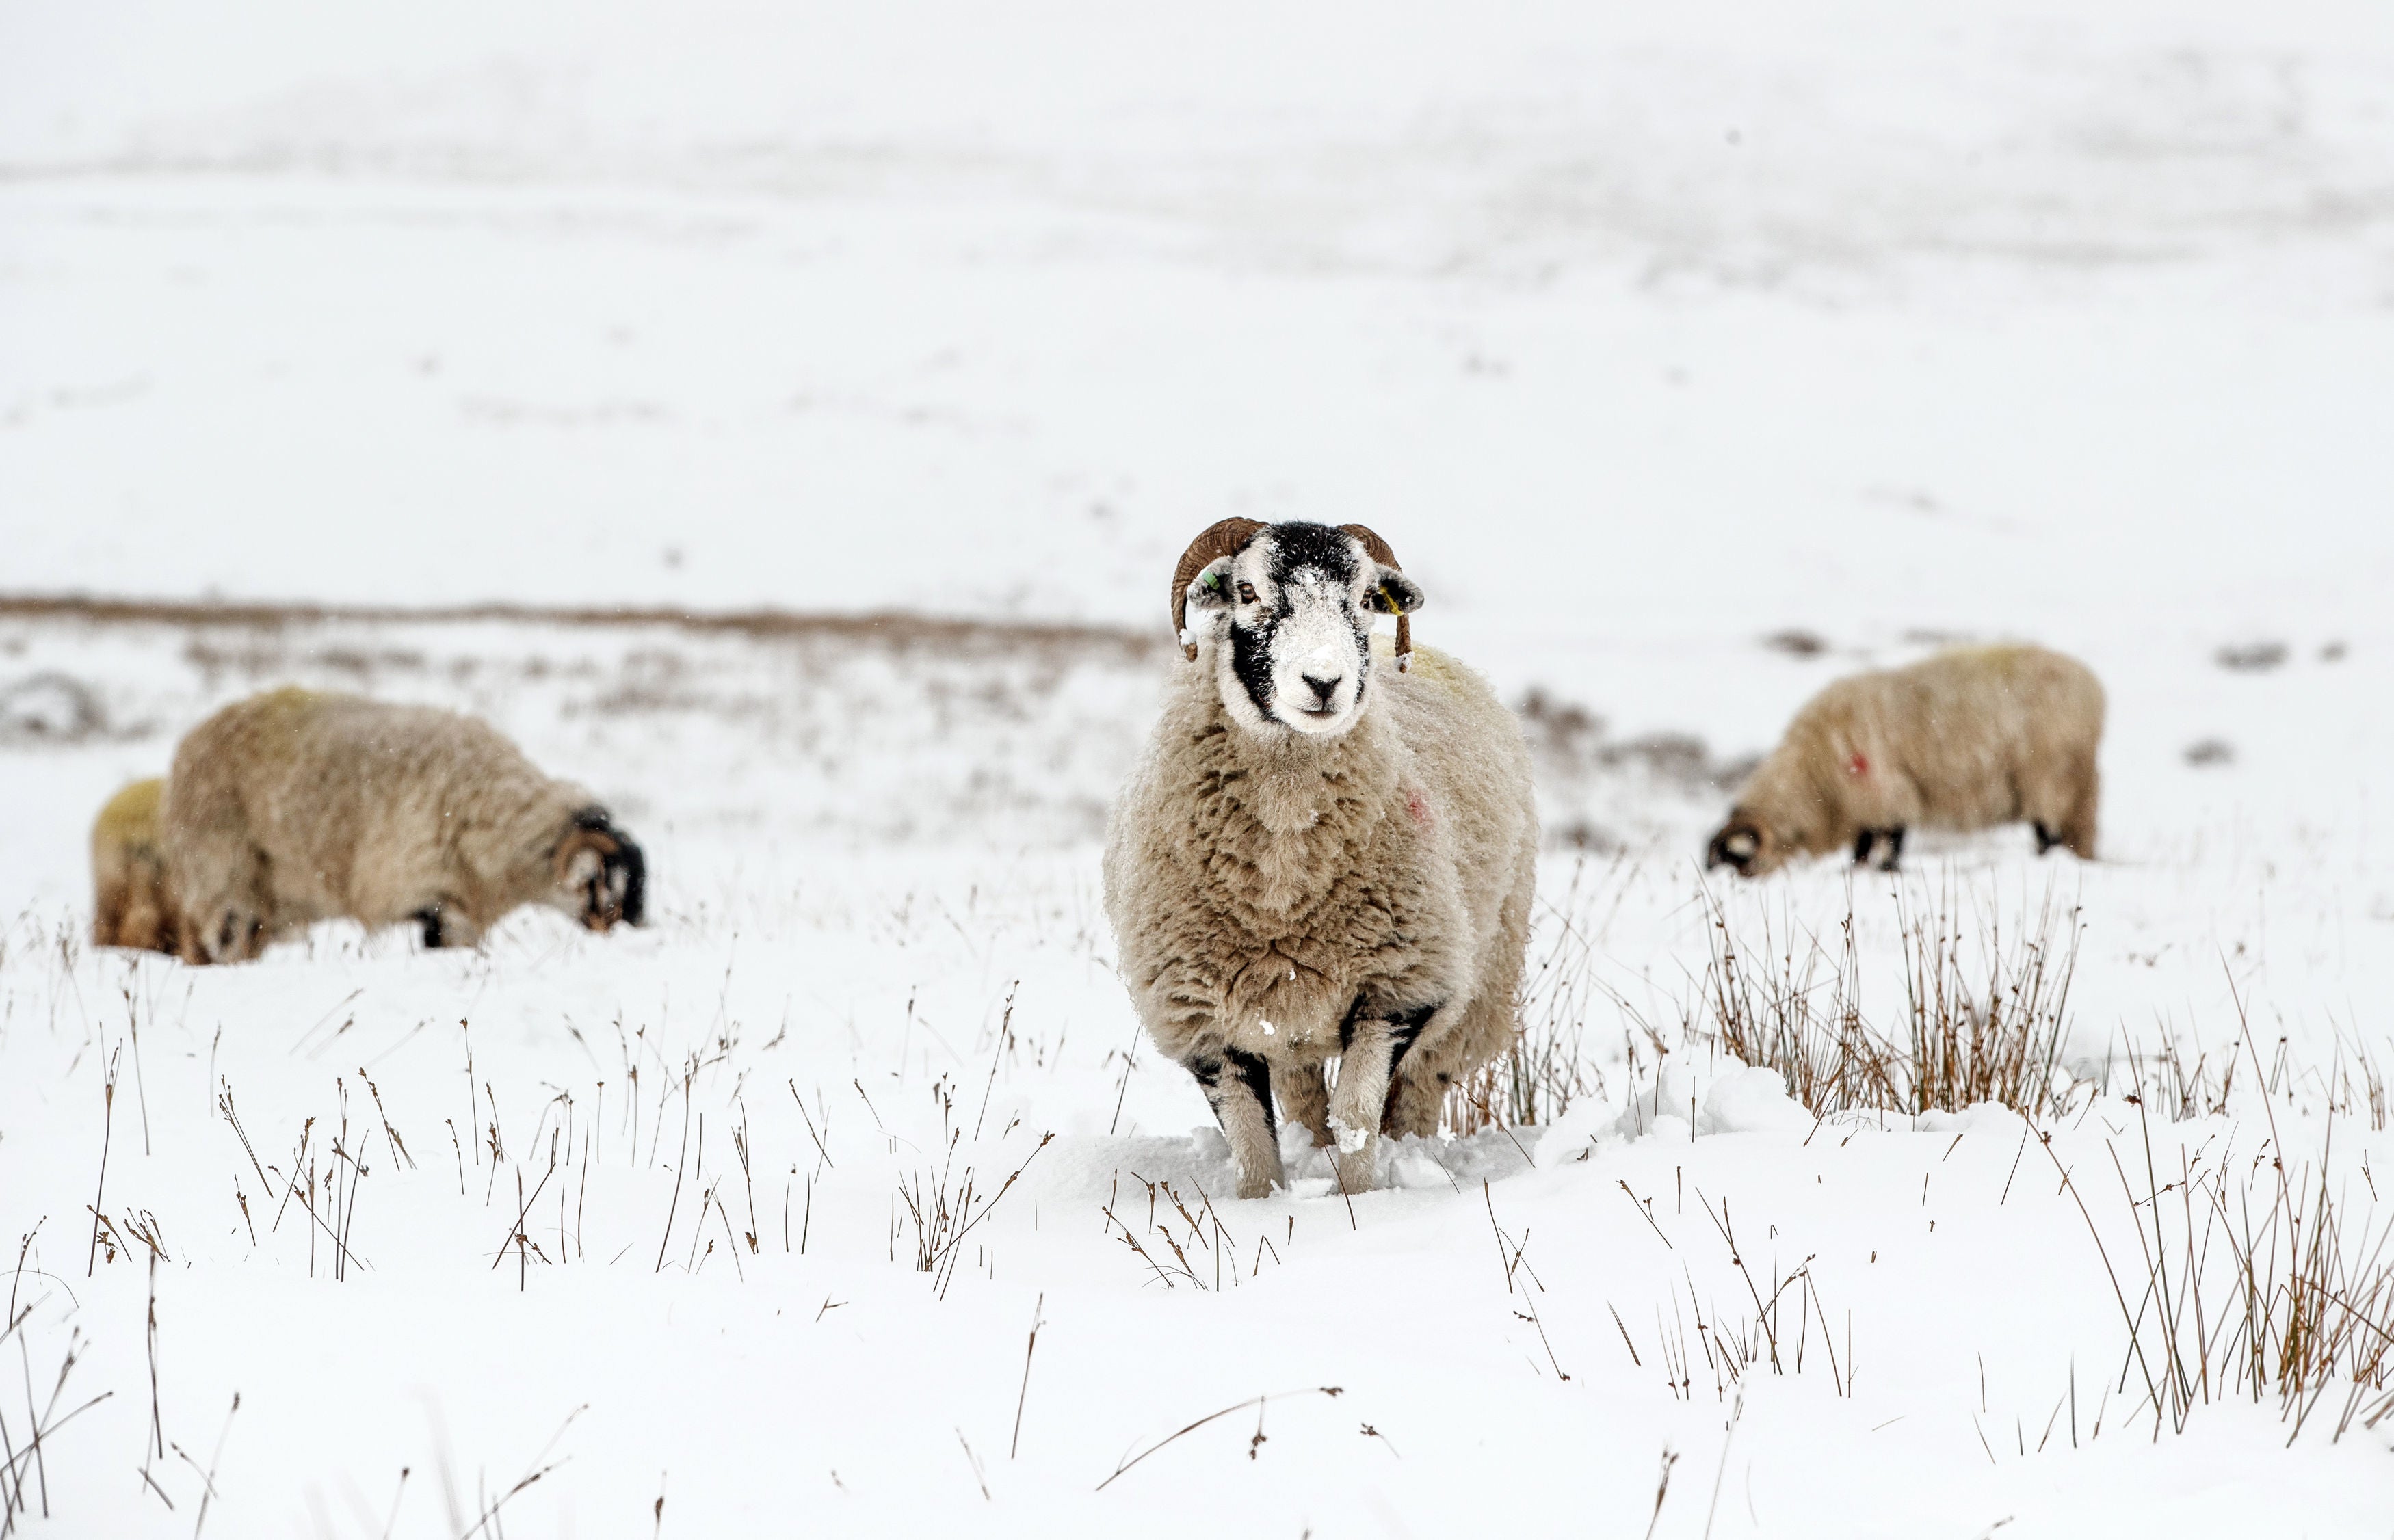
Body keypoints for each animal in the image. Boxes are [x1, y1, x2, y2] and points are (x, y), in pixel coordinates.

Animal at [160, 689, 651, 962]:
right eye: (609, 889)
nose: (633, 937)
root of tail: (191, 742)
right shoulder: (429, 894)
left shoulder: (462, 913)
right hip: (224, 877)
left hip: (270, 901)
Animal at [1096, 512, 1532, 1197]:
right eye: (1247, 593)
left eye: (1364, 598)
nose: (1325, 682)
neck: (1283, 882)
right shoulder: (1203, 1021)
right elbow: (1253, 1144)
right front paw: (1263, 1205)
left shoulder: (1397, 987)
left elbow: (1357, 1113)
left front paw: (1358, 1200)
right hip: (1285, 1015)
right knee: (1303, 1096)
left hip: (1481, 979)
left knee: (1420, 1087)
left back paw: (1414, 1157)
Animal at [1695, 646, 2107, 881]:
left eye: (1740, 861)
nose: (1730, 890)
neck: (1813, 774)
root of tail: (2093, 686)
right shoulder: (1862, 802)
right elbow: (1865, 841)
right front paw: (1858, 869)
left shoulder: (1884, 788)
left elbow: (1891, 837)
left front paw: (1884, 871)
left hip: (2050, 774)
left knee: (2048, 832)